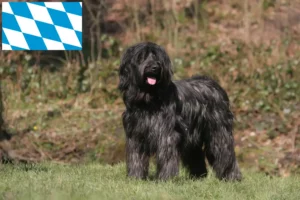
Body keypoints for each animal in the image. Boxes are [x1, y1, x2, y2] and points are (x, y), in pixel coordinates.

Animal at [118, 42, 243, 181]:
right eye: (141, 57)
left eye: (157, 57)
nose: (155, 67)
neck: (148, 100)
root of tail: (215, 85)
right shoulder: (135, 134)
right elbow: (136, 157)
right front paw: (135, 177)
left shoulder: (167, 133)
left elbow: (166, 156)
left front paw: (165, 179)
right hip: (194, 135)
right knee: (196, 155)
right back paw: (198, 177)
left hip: (219, 130)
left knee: (224, 152)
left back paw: (231, 177)